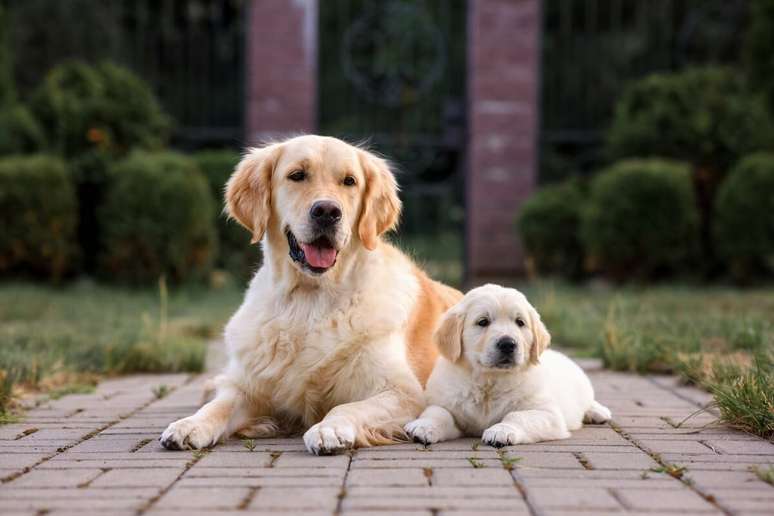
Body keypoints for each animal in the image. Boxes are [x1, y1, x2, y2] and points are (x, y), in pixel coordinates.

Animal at [158, 135, 460, 454]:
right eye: (297, 175)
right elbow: (220, 405)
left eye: (349, 181)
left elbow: (344, 407)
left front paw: (329, 429)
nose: (327, 212)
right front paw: (190, 425)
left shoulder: (404, 392)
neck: (309, 301)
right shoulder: (251, 386)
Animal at [406, 284, 612, 446]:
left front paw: (501, 431)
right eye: (483, 322)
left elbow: (517, 416)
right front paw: (423, 426)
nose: (507, 344)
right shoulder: (445, 402)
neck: (489, 382)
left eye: (520, 322)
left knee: (589, 401)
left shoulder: (548, 414)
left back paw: (598, 412)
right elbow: (438, 412)